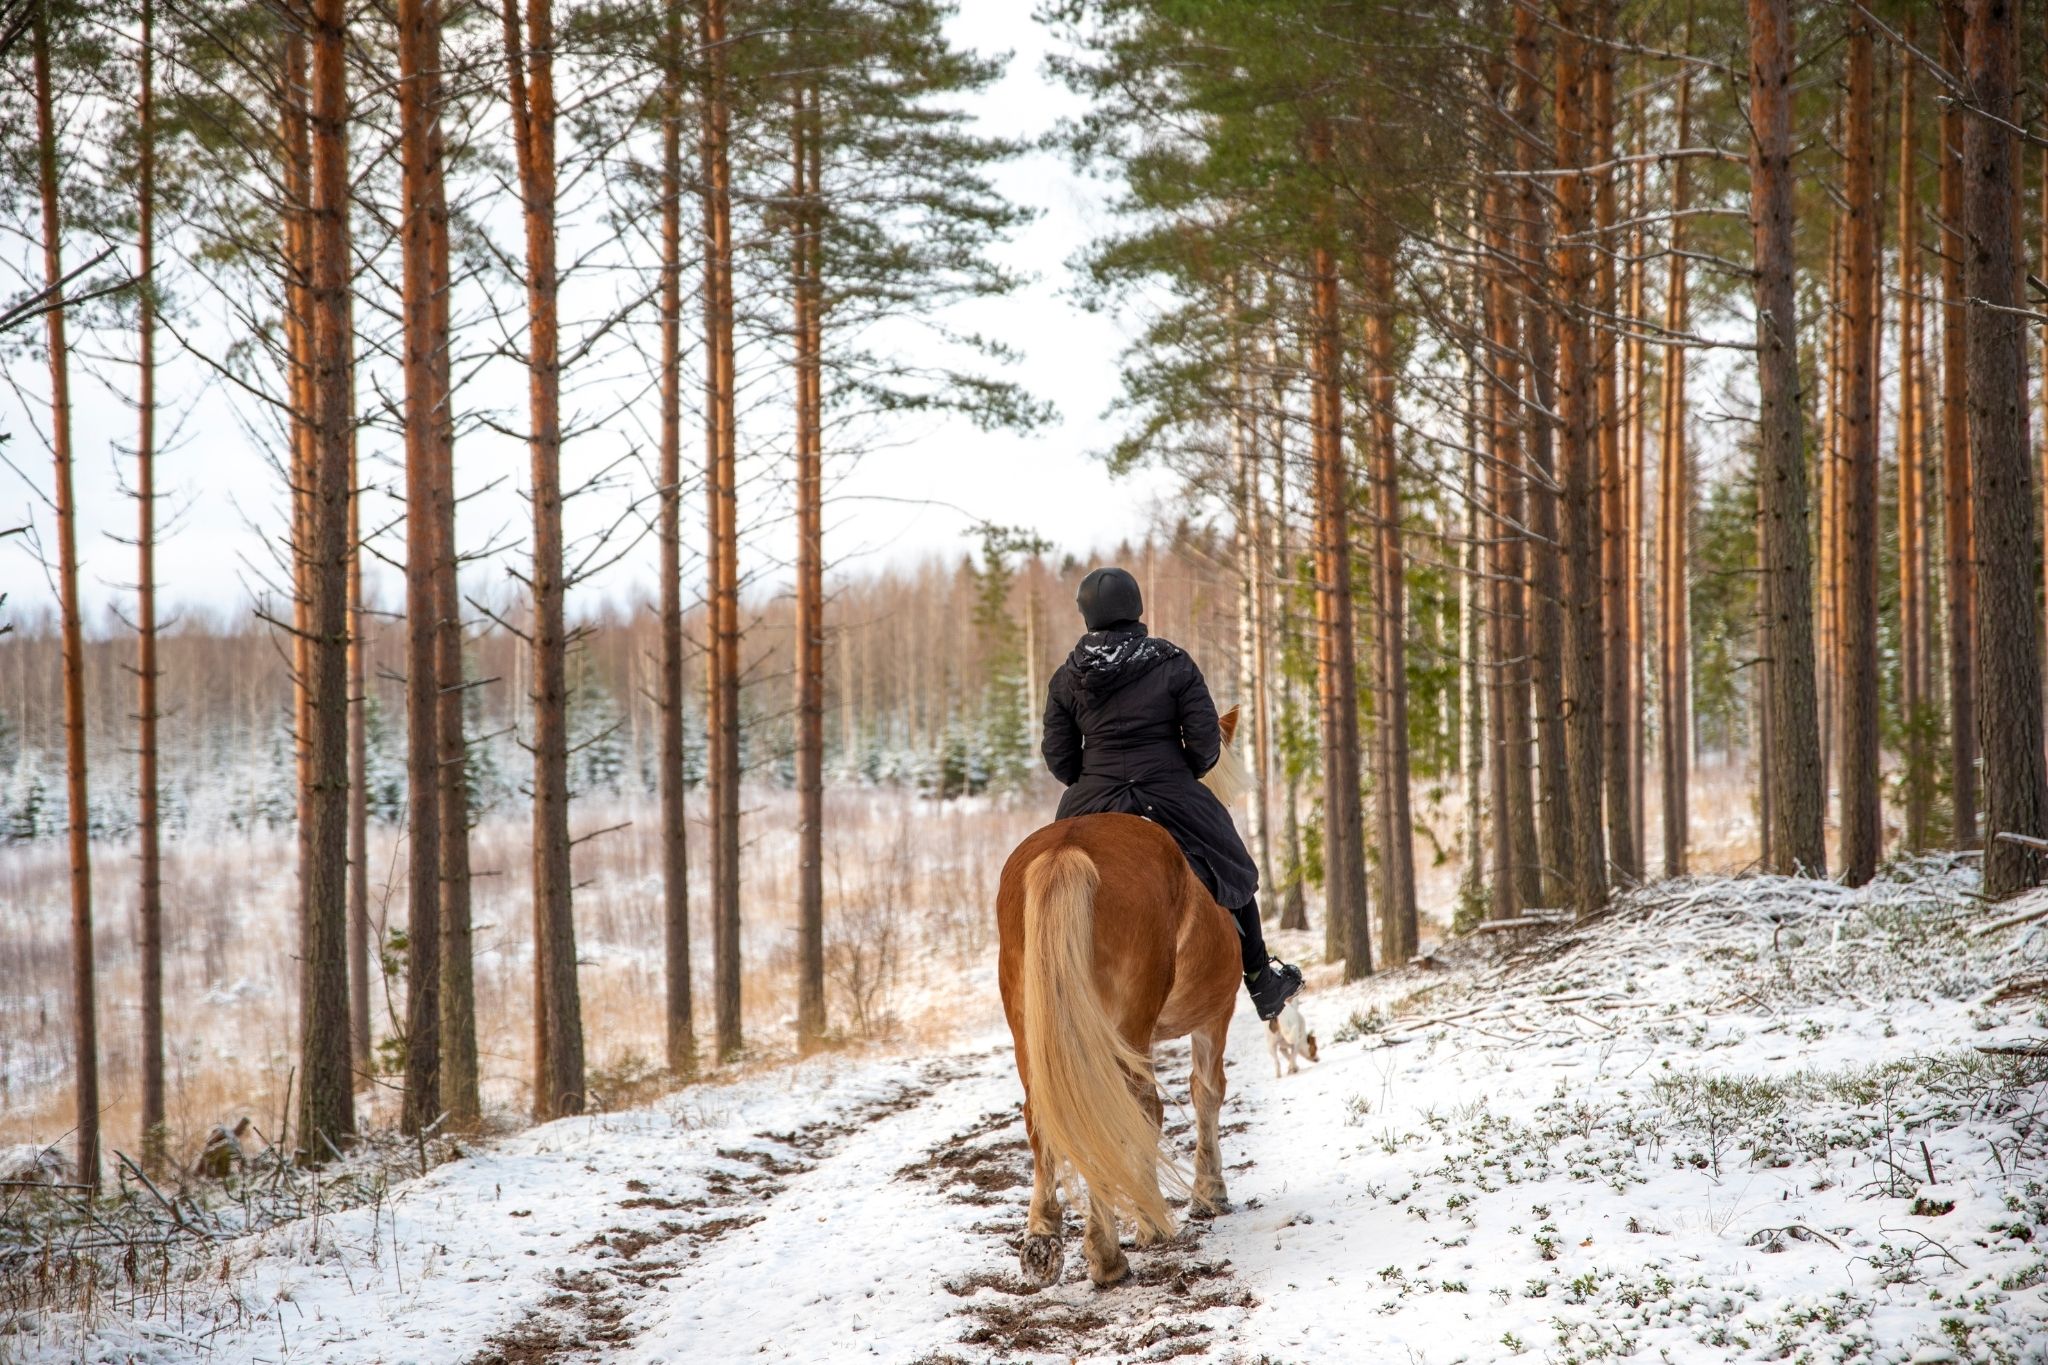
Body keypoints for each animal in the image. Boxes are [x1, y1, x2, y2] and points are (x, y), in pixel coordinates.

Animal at [995, 708, 1246, 1287]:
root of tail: (1067, 850)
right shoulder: (1215, 1015)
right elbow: (1205, 1093)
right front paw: (1206, 1196)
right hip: (1126, 1024)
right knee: (1128, 1107)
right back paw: (1109, 1255)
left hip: (1032, 1026)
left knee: (1044, 1113)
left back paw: (1043, 1245)